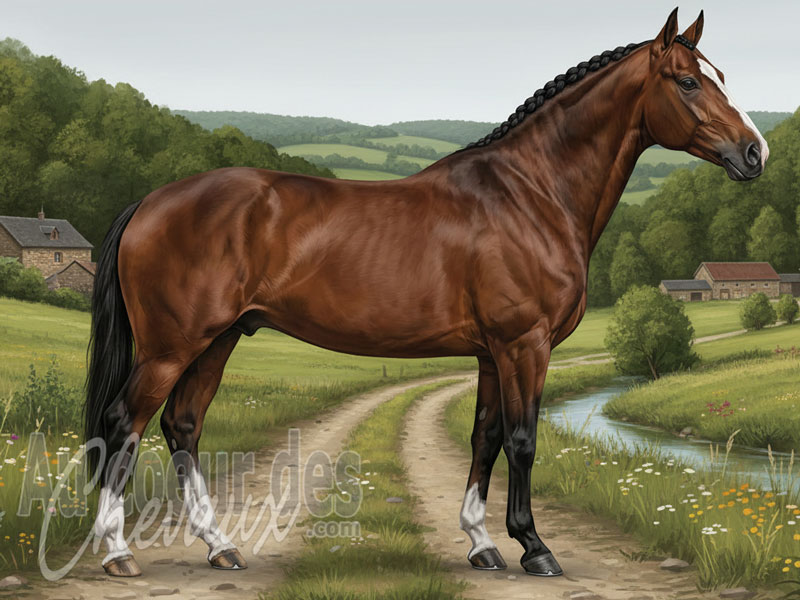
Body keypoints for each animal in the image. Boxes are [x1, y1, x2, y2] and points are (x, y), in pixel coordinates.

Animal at [85, 8, 768, 578]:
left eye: (719, 76)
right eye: (688, 82)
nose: (755, 152)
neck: (531, 194)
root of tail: (151, 201)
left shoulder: (493, 352)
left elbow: (486, 438)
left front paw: (483, 544)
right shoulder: (525, 344)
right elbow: (522, 440)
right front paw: (535, 548)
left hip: (217, 339)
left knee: (183, 426)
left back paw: (220, 546)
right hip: (173, 345)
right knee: (125, 423)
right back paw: (118, 553)